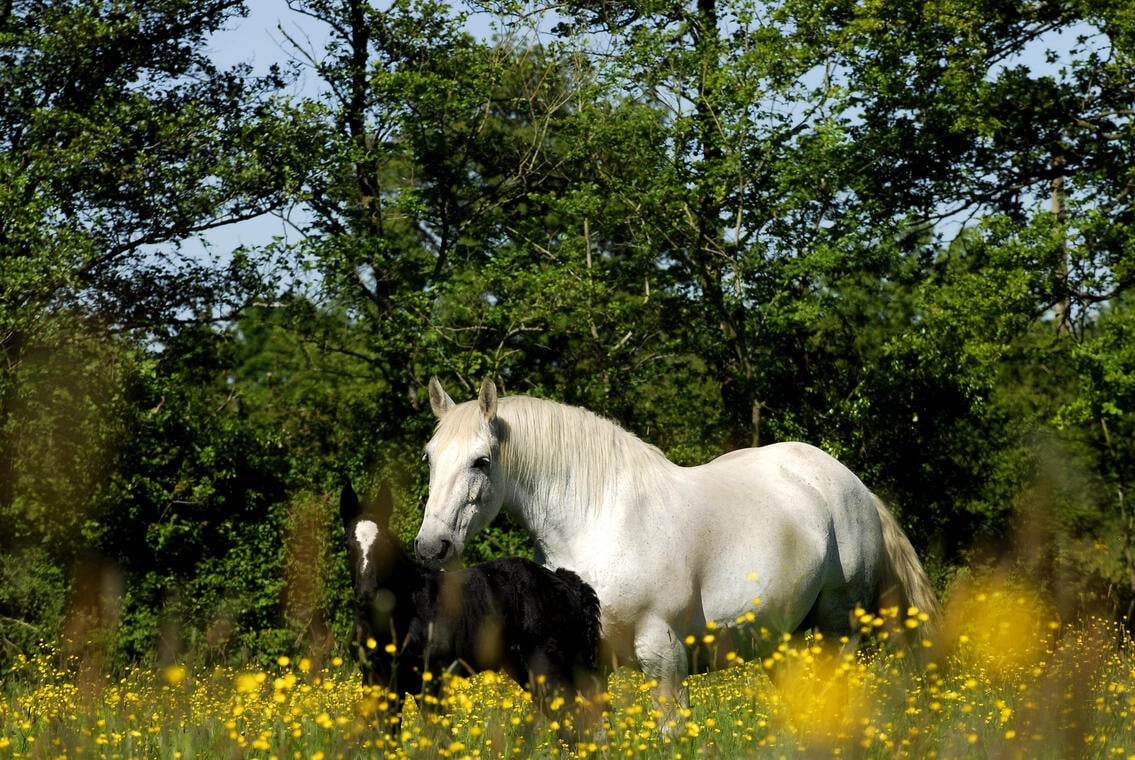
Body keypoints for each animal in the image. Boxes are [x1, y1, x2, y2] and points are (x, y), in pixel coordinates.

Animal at [413, 378, 935, 730]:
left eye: (481, 461)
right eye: (430, 457)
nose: (431, 546)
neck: (601, 521)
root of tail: (850, 484)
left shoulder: (662, 655)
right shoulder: (585, 663)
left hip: (837, 627)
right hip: (778, 640)